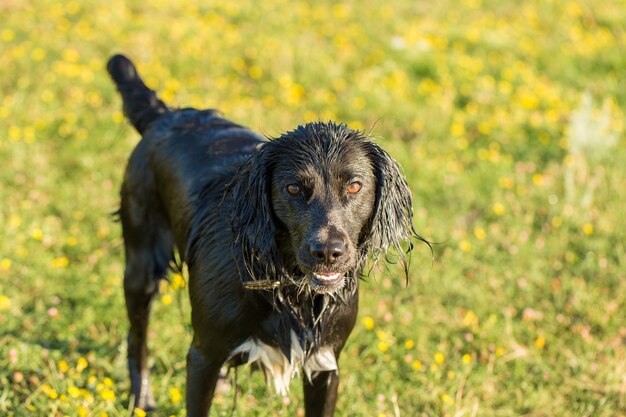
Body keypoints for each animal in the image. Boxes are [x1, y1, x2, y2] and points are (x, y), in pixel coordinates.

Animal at [108, 55, 424, 416]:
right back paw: (141, 398)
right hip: (140, 266)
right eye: (294, 187)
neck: (289, 285)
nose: (328, 252)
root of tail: (166, 115)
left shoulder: (325, 363)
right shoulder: (203, 355)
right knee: (137, 337)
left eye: (355, 186)